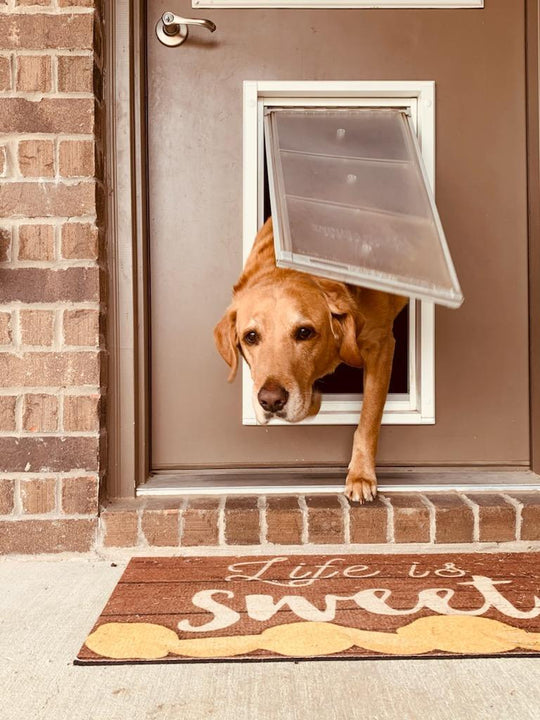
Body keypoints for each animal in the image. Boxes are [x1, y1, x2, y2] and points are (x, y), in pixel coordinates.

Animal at [213, 217, 408, 504]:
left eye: (304, 332)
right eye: (251, 336)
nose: (271, 401)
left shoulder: (381, 345)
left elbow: (369, 417)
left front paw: (361, 476)